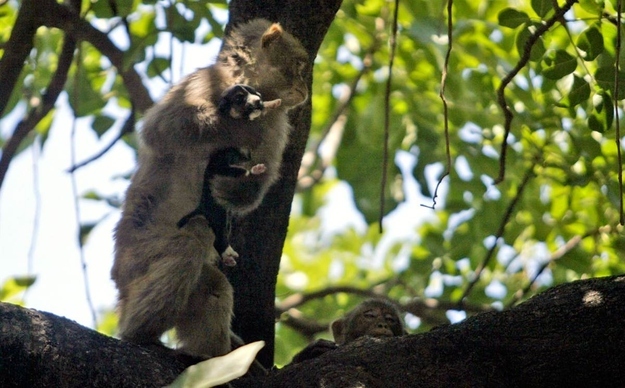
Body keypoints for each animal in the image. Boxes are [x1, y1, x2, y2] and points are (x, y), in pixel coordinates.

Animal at [112, 19, 310, 358]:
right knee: (190, 242)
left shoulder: (276, 126)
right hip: (136, 255)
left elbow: (248, 194)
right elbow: (159, 129)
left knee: (213, 286)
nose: (305, 90)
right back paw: (140, 332)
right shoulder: (200, 84)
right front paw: (236, 118)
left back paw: (210, 355)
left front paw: (235, 182)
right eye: (298, 66)